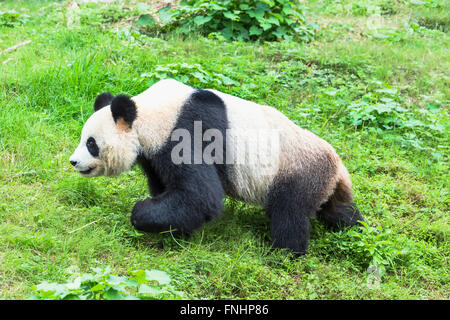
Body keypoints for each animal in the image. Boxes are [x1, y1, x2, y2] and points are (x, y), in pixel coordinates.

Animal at [71, 79, 366, 256]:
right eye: (84, 138)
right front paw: (174, 231)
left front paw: (141, 212)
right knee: (337, 211)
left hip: (297, 171)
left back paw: (284, 254)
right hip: (322, 181)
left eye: (91, 143)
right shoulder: (154, 154)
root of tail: (339, 168)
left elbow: (202, 196)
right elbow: (171, 190)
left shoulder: (186, 132)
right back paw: (356, 229)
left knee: (289, 213)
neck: (150, 114)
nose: (74, 162)